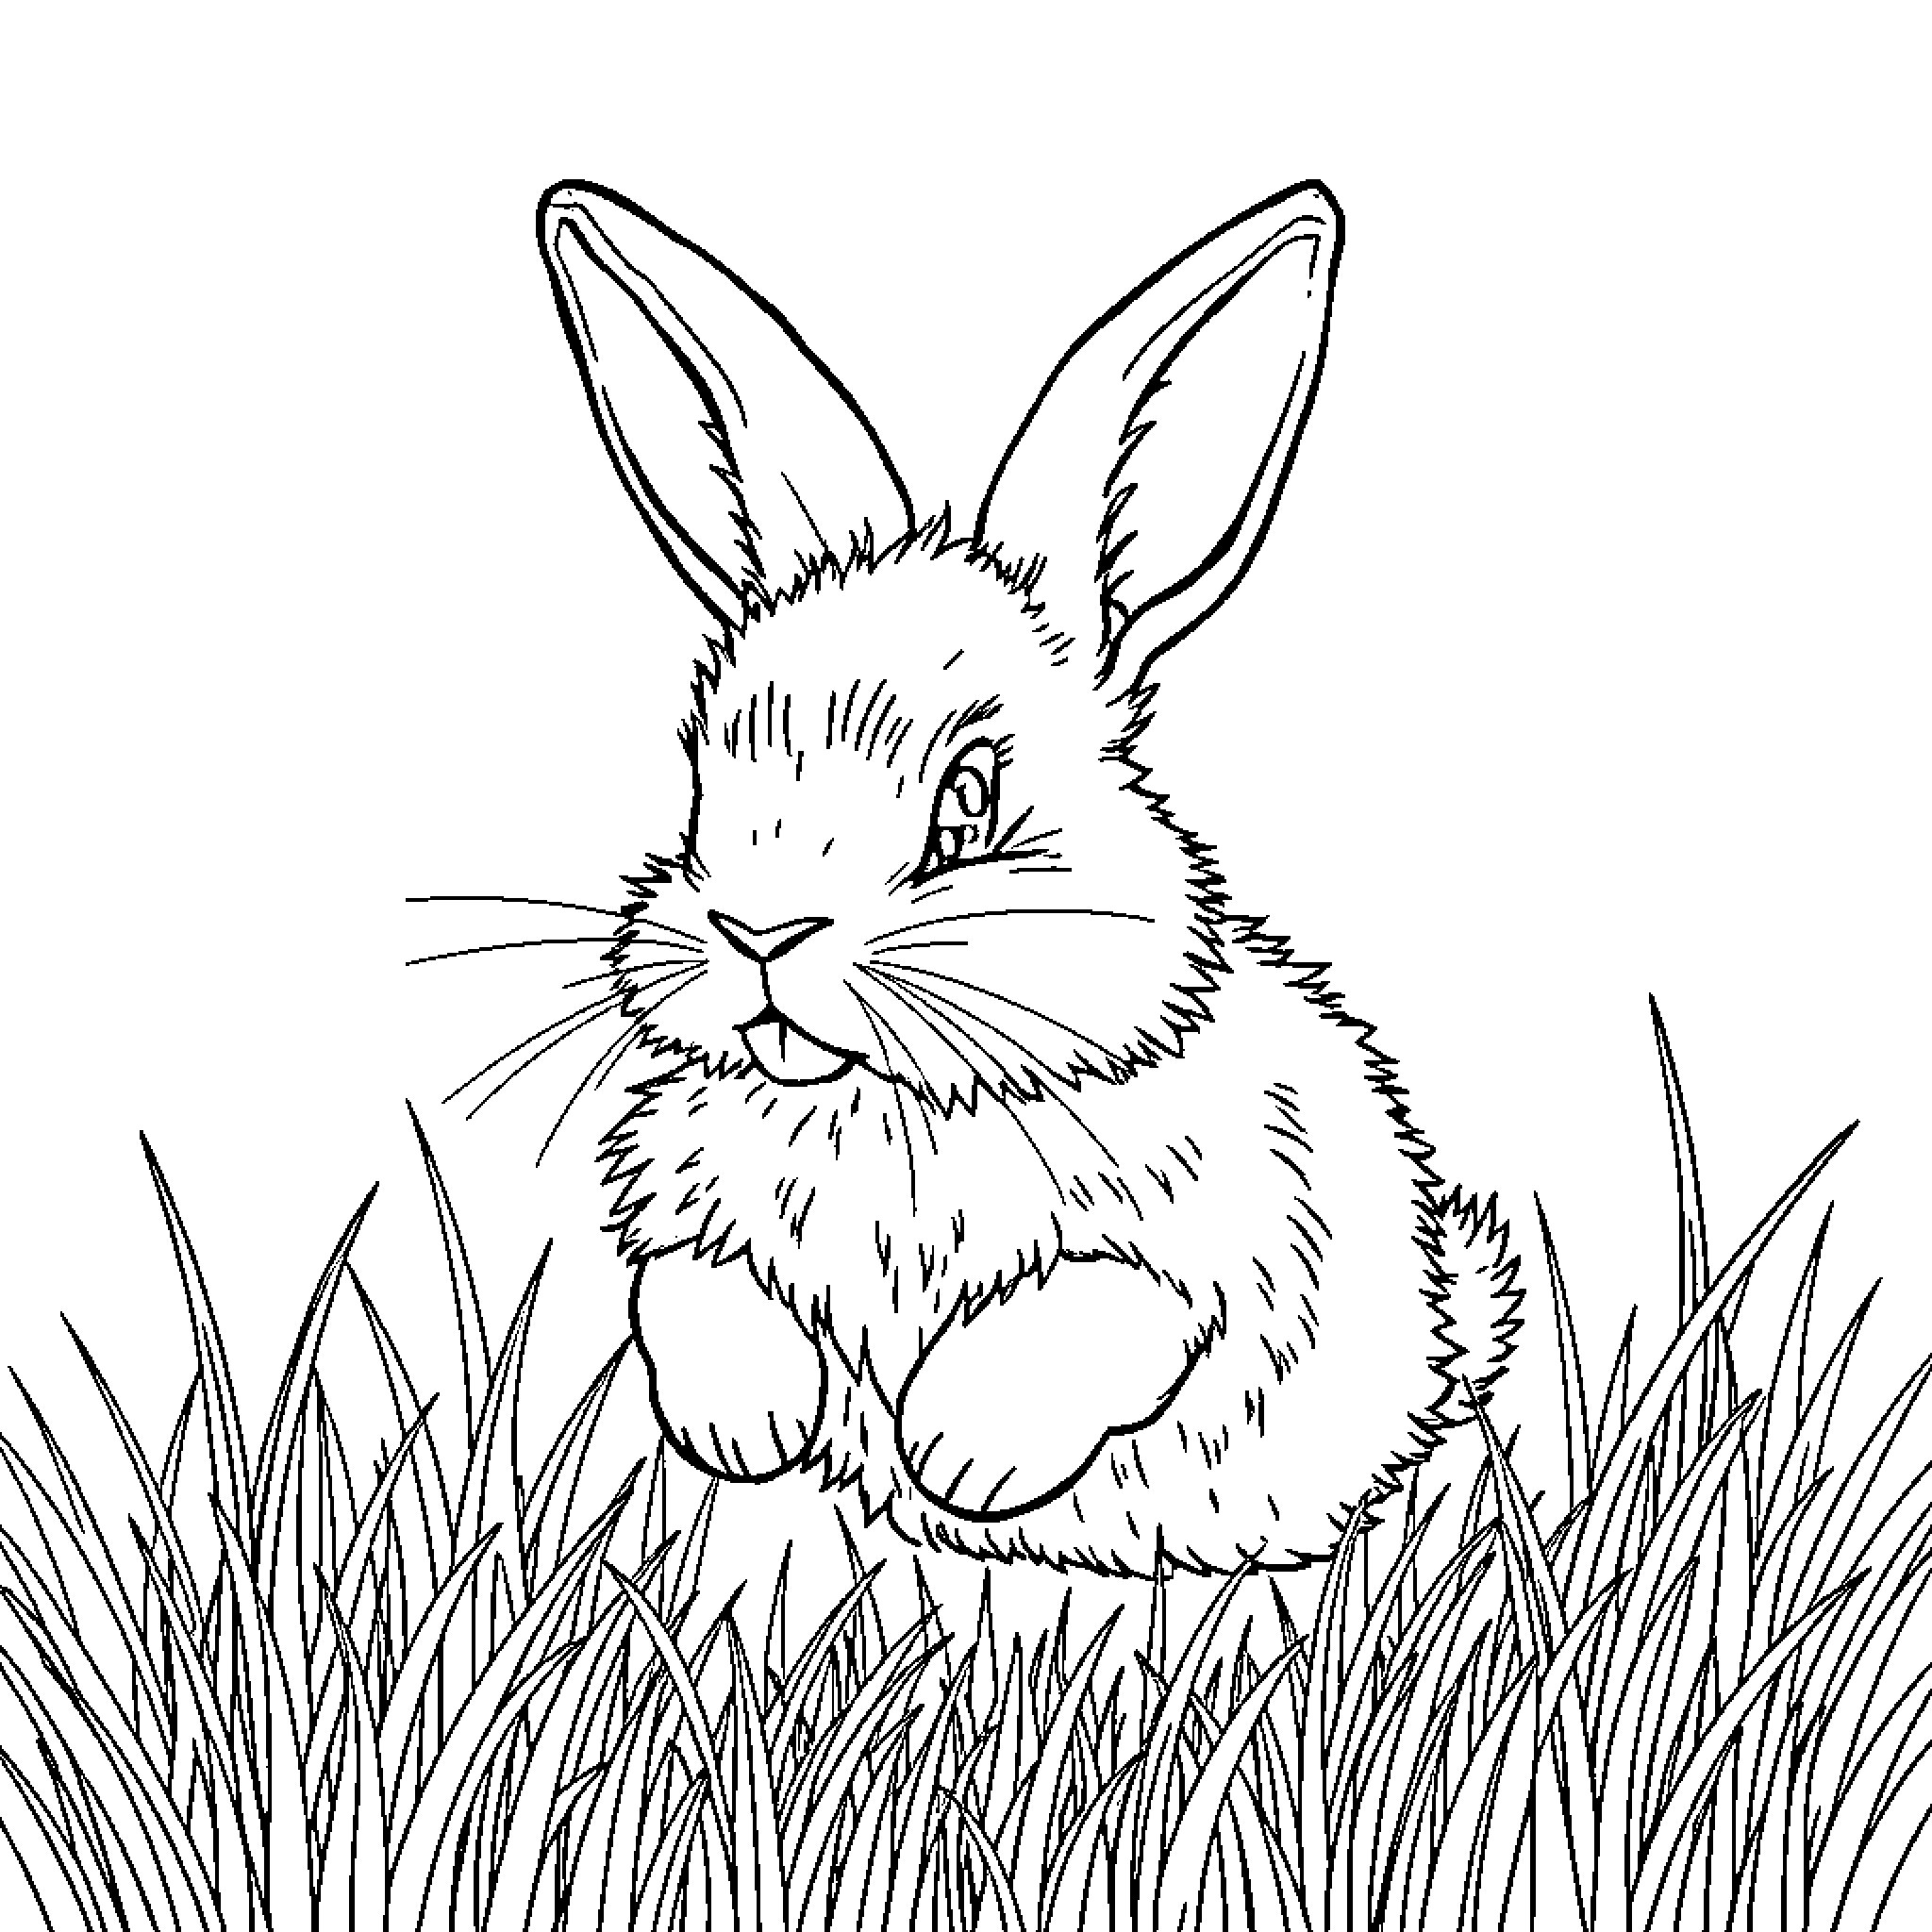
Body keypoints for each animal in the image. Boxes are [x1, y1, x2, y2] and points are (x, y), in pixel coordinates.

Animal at [530, 176, 1524, 1576]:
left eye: (970, 799)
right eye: (701, 782)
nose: (762, 932)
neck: (887, 1108)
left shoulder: (1221, 1251)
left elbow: (1102, 1302)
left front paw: (959, 1452)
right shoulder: (687, 1213)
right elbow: (689, 1282)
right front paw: (746, 1424)